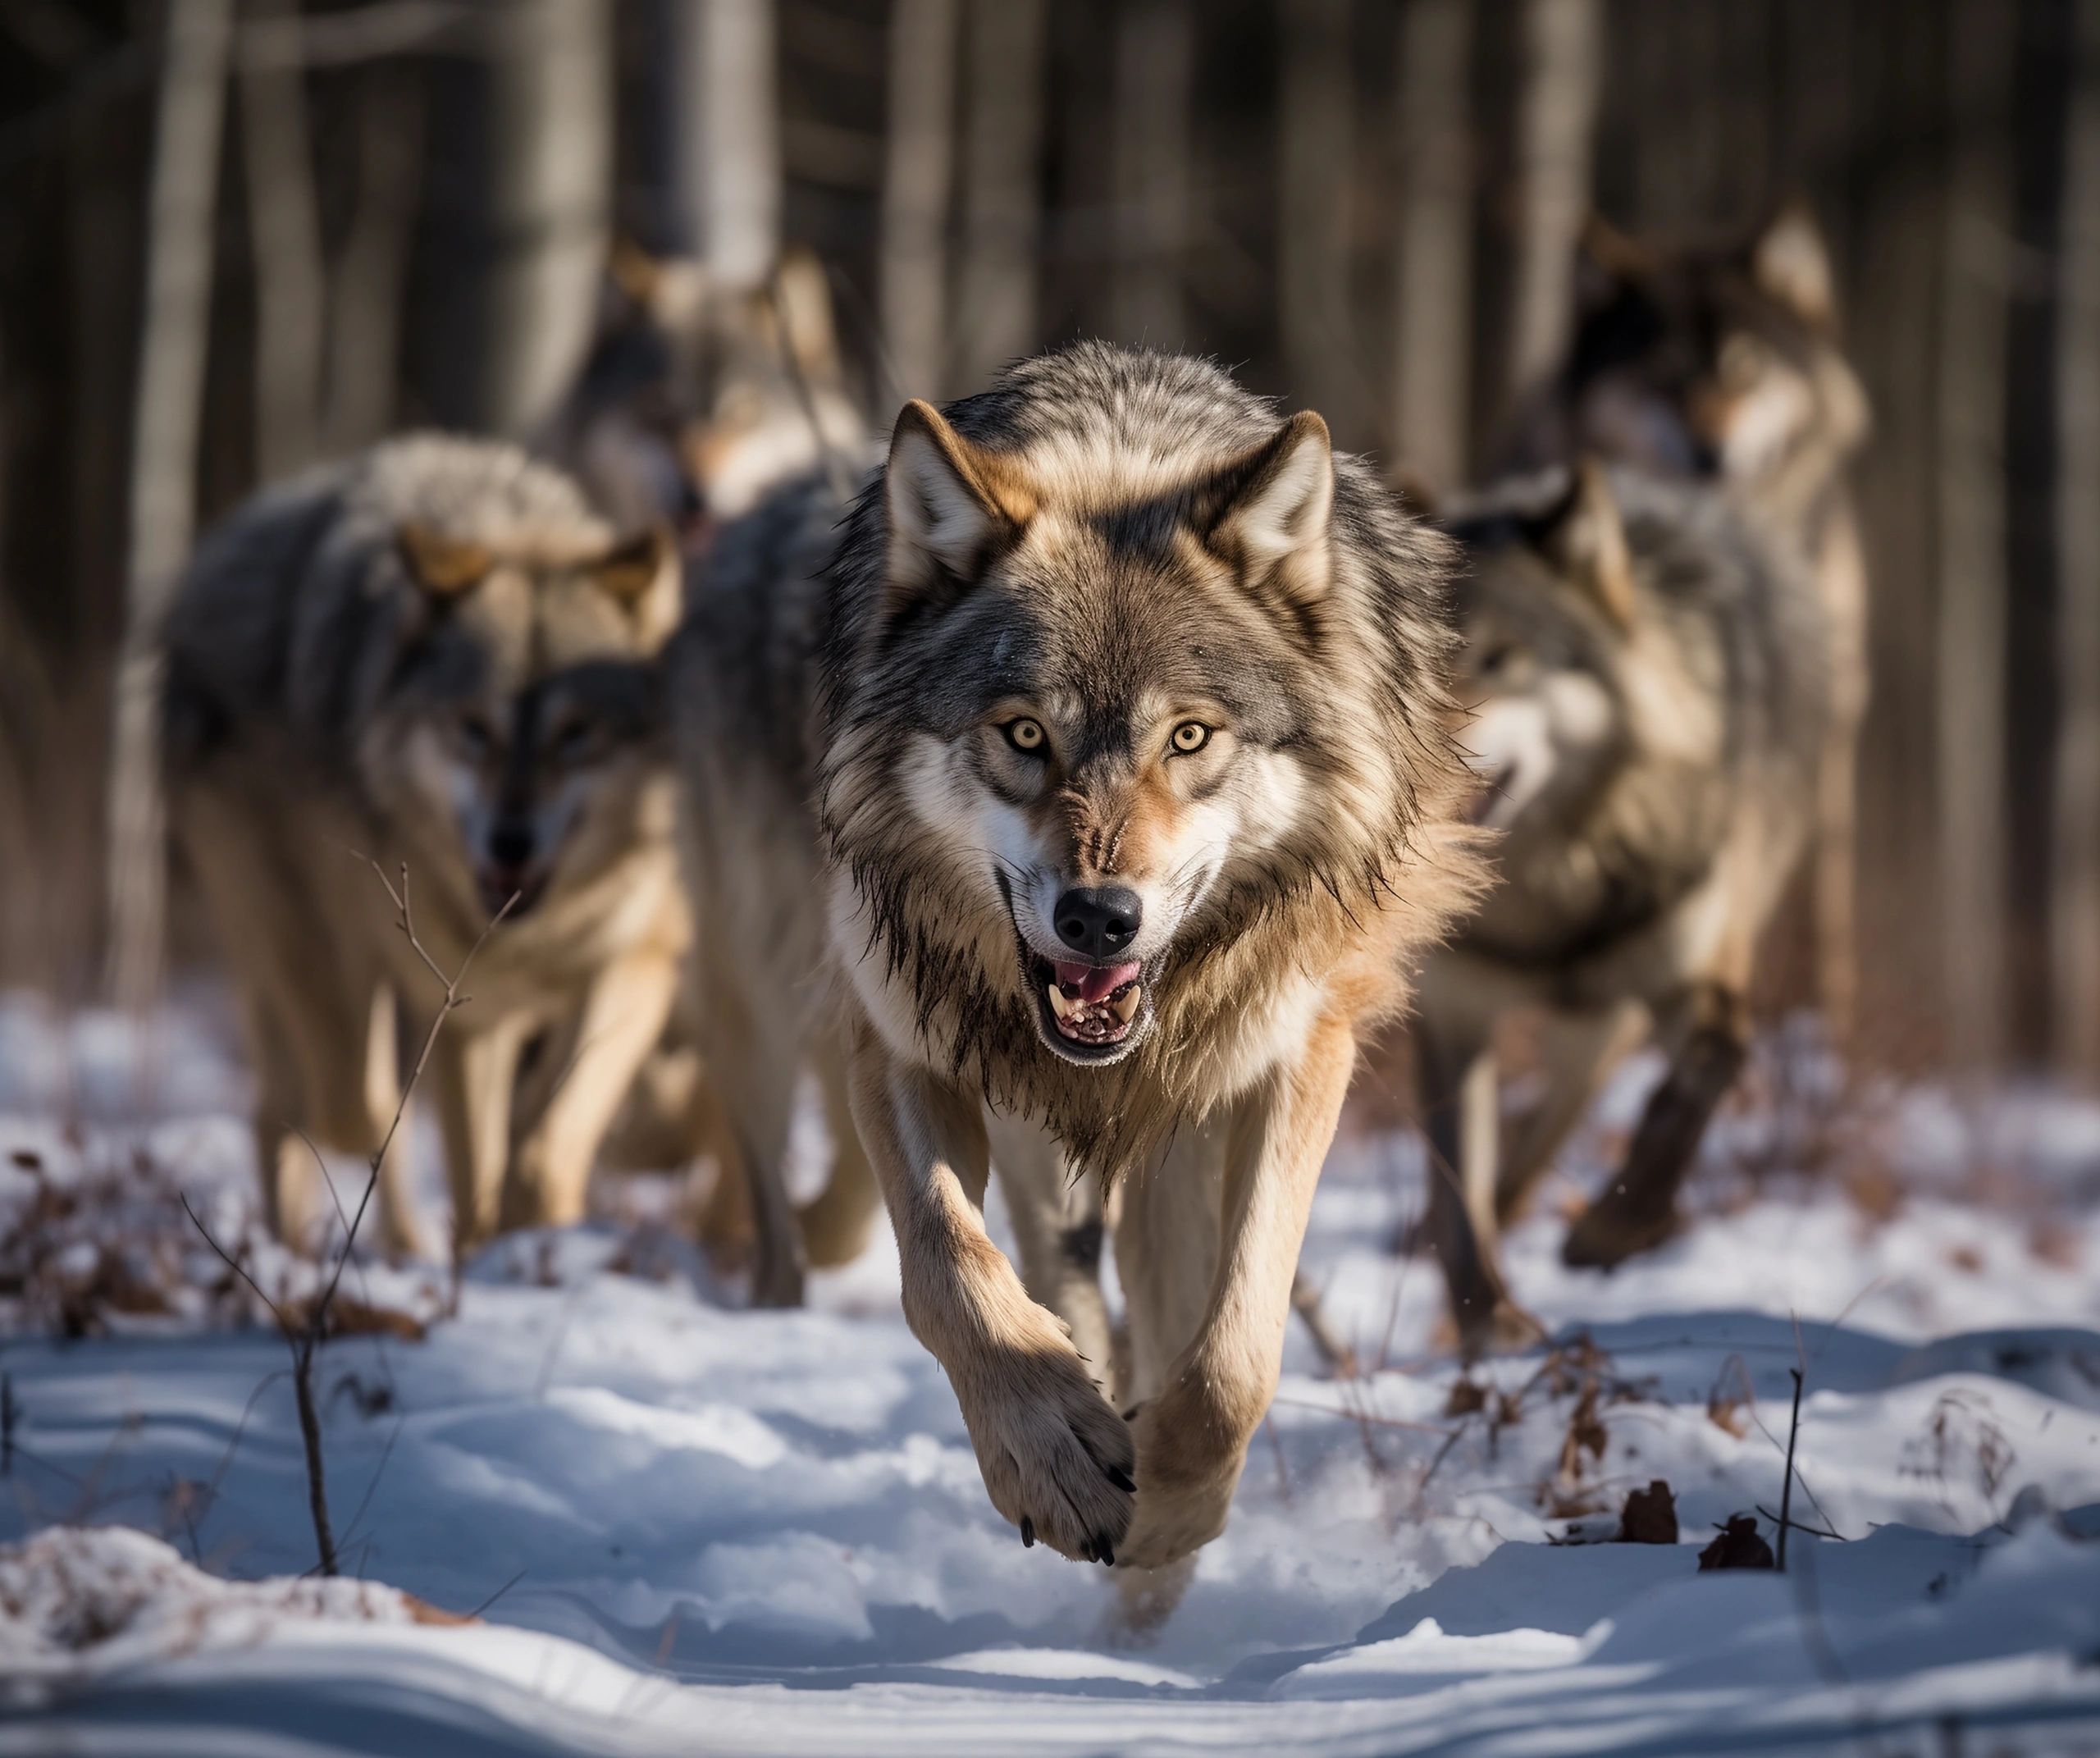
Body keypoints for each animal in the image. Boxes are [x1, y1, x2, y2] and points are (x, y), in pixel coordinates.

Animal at [163, 436, 686, 1260]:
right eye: (473, 727)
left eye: (578, 733)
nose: (510, 839)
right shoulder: (461, 1013)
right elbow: (422, 1136)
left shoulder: (627, 964)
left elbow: (541, 1140)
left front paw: (533, 1229)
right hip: (292, 947)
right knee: (320, 1104)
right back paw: (330, 1254)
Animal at [1417, 460, 1828, 1350]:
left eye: (1501, 659)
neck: (1551, 894)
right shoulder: (1452, 1012)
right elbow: (1458, 1186)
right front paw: (1486, 1323)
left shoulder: (1694, 986)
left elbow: (1699, 1081)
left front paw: (1613, 1231)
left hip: (1608, 1019)